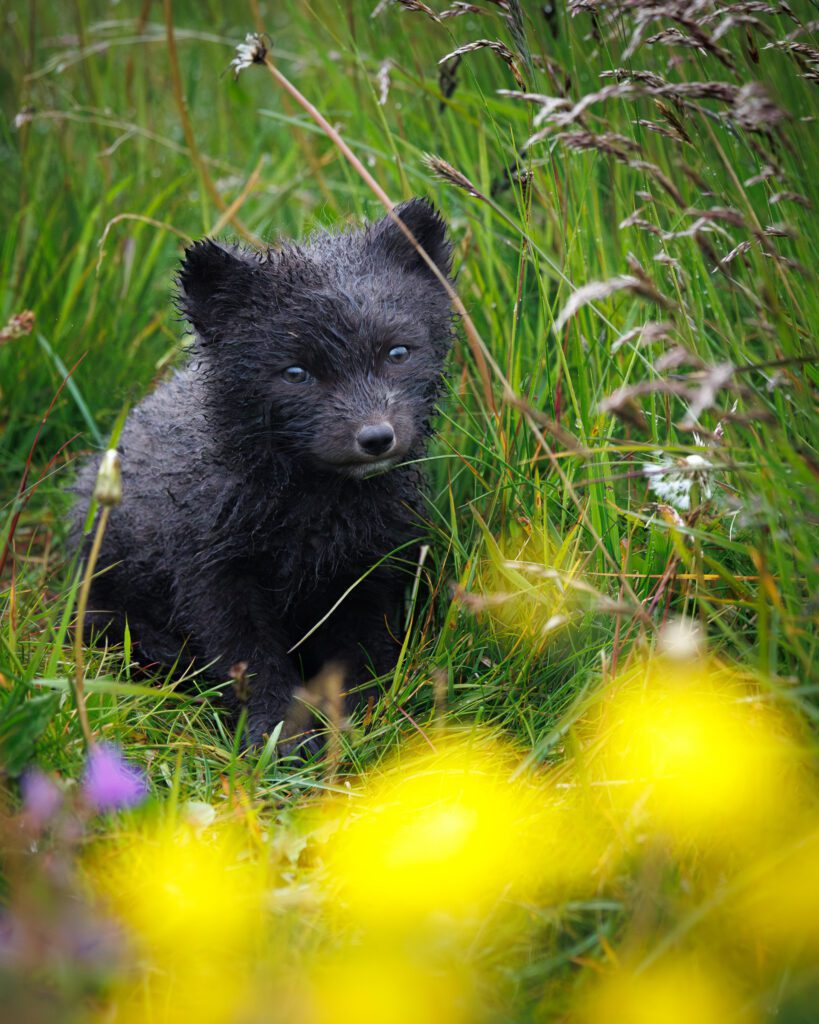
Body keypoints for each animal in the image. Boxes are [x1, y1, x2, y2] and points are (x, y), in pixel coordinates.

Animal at [70, 198, 454, 749]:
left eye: (397, 352)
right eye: (296, 372)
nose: (375, 436)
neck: (315, 517)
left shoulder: (368, 569)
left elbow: (360, 656)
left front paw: (361, 727)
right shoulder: (214, 575)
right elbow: (251, 663)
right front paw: (278, 739)